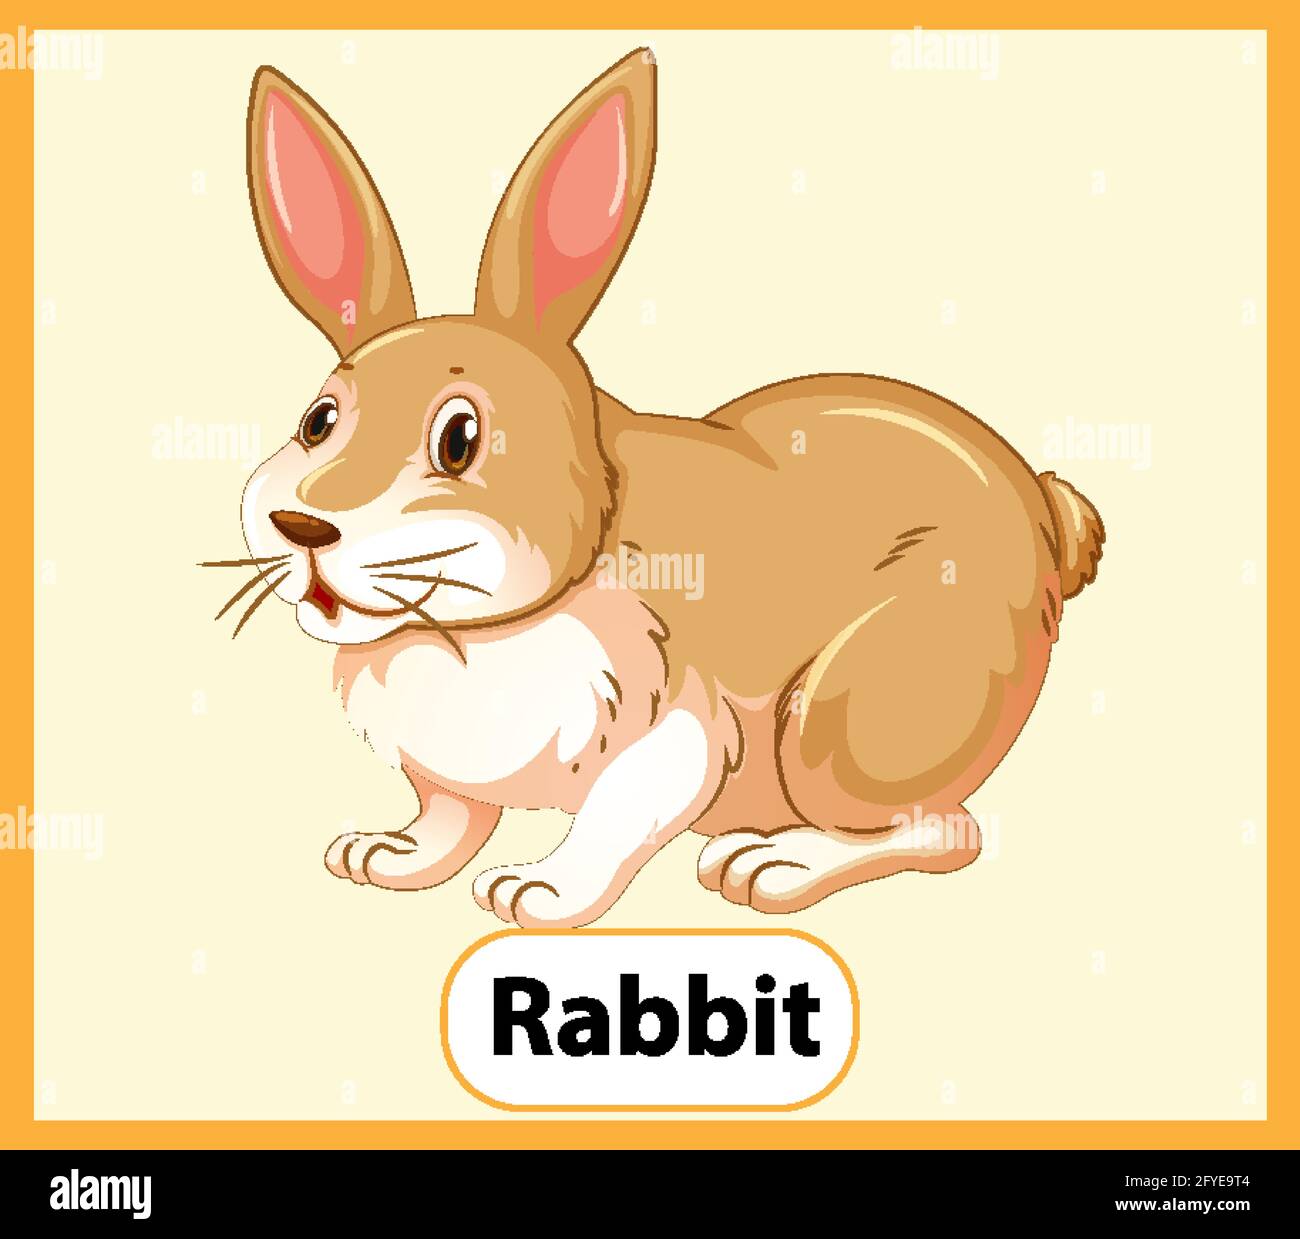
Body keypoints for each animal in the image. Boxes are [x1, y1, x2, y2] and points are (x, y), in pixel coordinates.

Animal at [225, 47, 1104, 928]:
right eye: (318, 421)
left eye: (459, 438)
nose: (304, 526)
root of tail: (1044, 515)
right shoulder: (446, 772)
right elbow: (449, 816)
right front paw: (383, 855)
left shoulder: (680, 727)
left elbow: (616, 815)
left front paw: (536, 892)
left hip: (845, 723)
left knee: (942, 828)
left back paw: (771, 864)